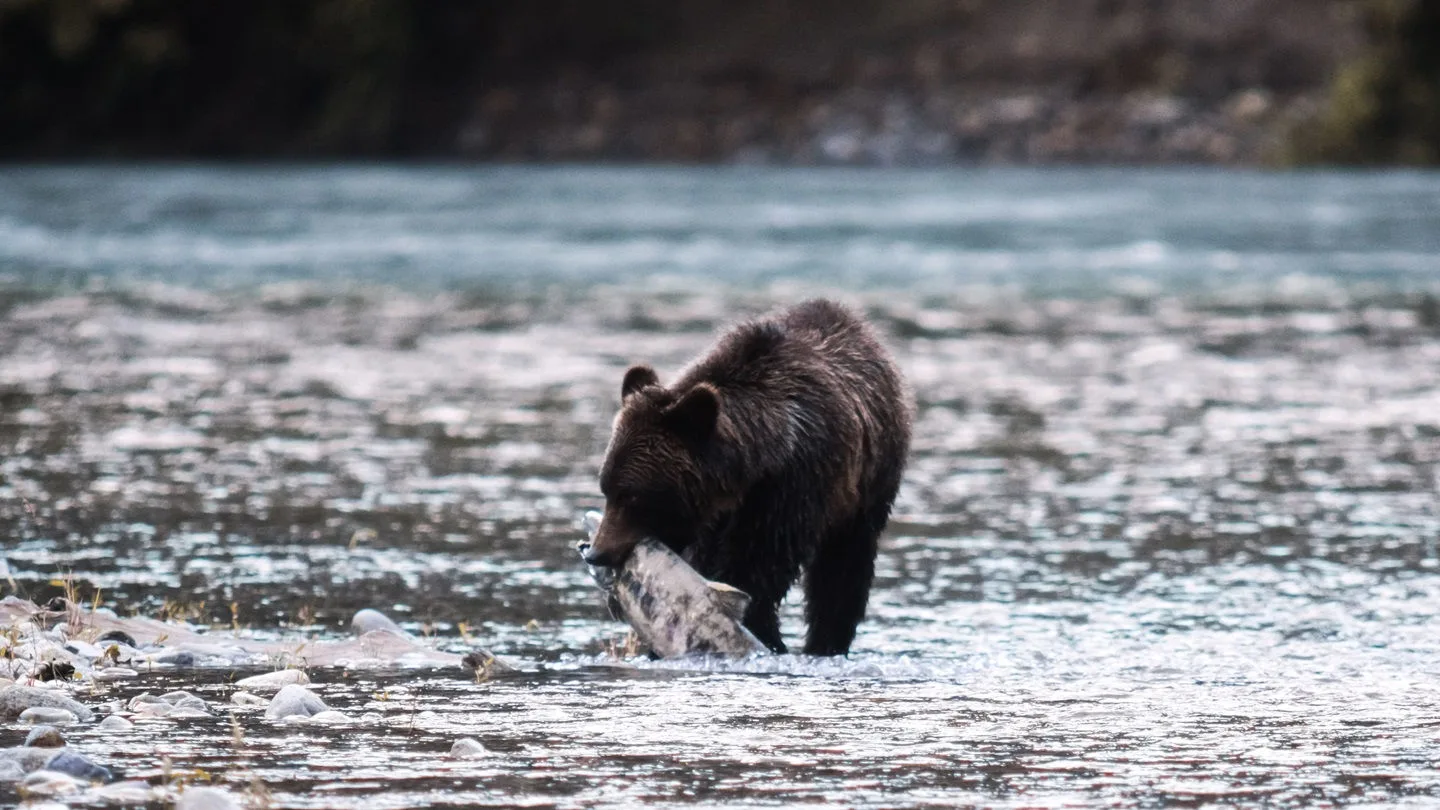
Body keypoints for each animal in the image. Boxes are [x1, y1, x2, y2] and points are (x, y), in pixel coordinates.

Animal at [584, 299, 912, 656]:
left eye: (632, 495)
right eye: (606, 488)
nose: (596, 552)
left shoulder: (794, 487)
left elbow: (758, 565)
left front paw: (763, 632)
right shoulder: (708, 515)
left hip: (867, 486)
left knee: (843, 568)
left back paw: (826, 640)